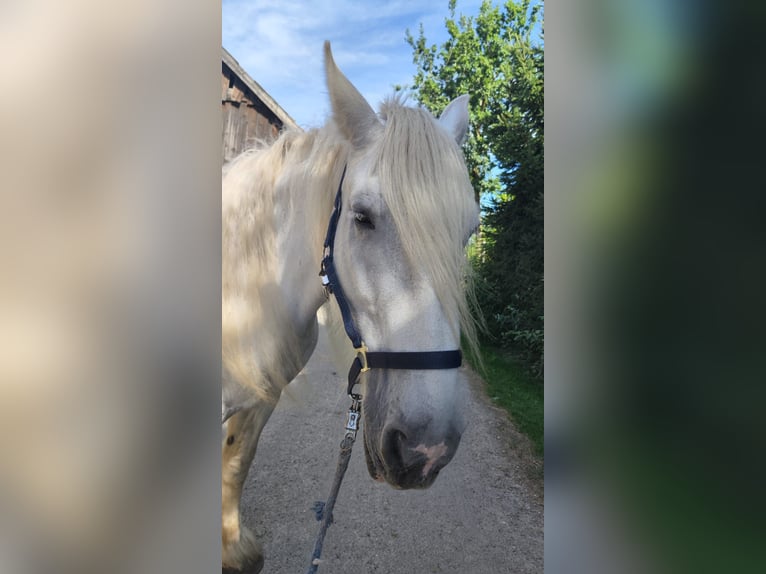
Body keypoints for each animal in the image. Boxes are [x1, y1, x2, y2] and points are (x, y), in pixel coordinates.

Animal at [221, 41, 479, 573]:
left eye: (470, 233)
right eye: (361, 217)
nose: (425, 449)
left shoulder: (260, 398)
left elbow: (236, 462)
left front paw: (233, 548)